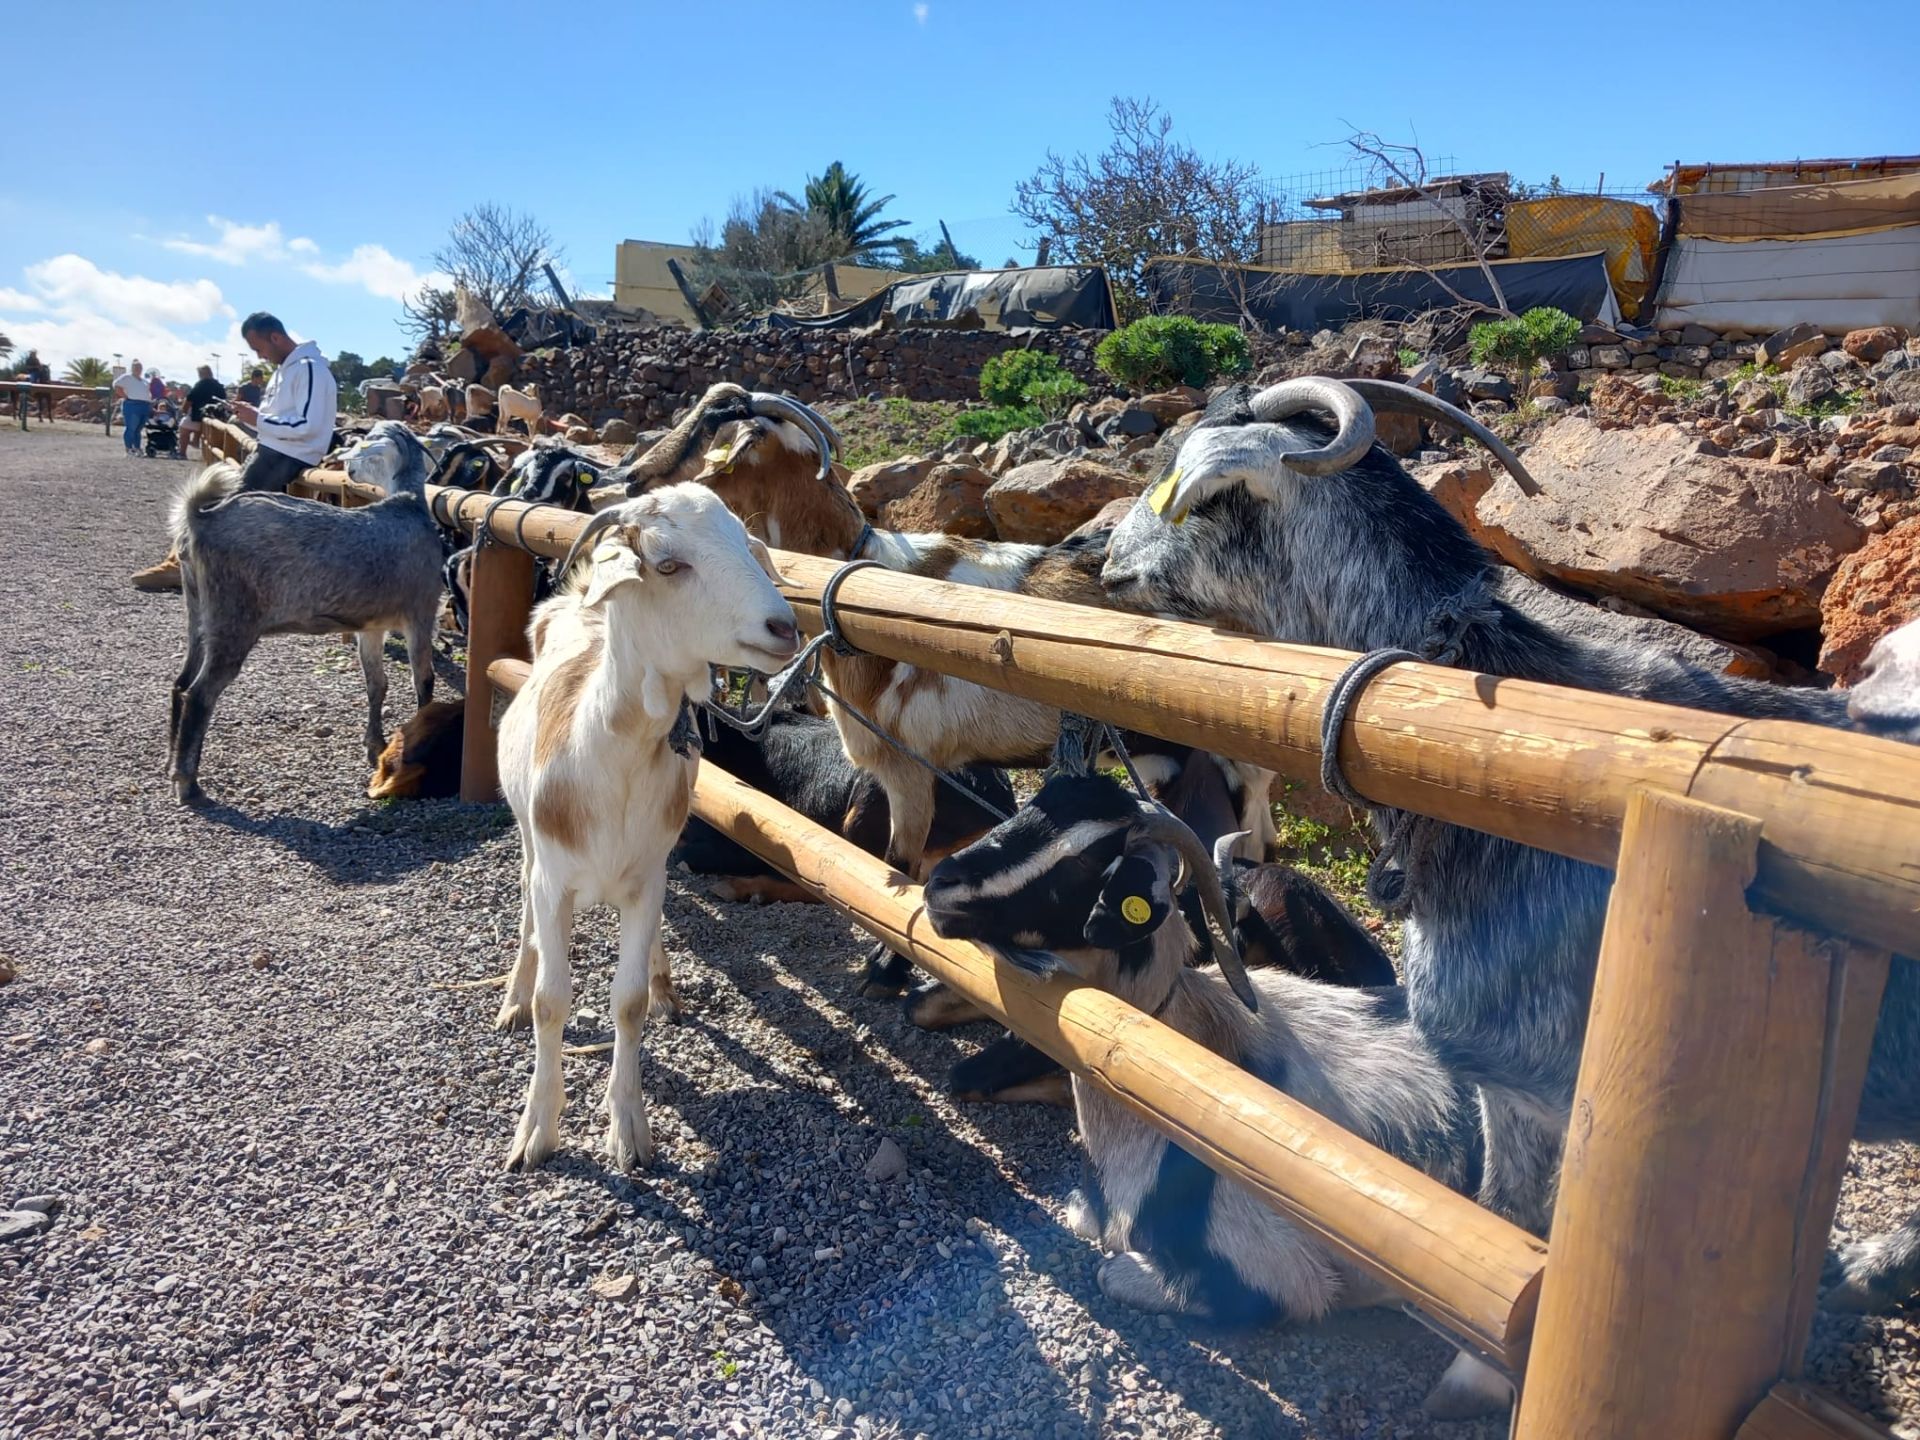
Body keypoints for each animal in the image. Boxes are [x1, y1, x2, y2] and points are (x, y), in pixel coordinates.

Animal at [168, 422, 445, 806]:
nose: (349, 468)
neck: (409, 505)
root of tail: (201, 518)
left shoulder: (371, 626)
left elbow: (377, 683)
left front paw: (374, 744)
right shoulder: (421, 612)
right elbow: (423, 680)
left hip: (197, 610)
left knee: (180, 683)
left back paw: (171, 763)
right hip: (232, 618)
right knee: (199, 694)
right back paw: (188, 782)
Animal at [495, 485, 802, 1175]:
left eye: (745, 542)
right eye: (667, 563)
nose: (785, 627)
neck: (613, 754)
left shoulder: (646, 878)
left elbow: (628, 1000)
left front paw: (628, 1131)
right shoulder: (555, 879)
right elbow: (553, 1000)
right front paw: (535, 1132)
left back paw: (664, 983)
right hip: (529, 839)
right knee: (524, 908)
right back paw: (513, 995)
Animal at [921, 779, 1474, 1328]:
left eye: (1081, 862)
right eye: (1030, 805)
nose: (939, 886)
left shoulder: (1287, 1278)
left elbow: (1113, 1272)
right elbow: (1081, 1213)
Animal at [1098, 374, 1920, 1420]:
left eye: (1195, 486)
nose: (1103, 558)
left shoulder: (1571, 1084)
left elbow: (1520, 1237)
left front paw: (1480, 1379)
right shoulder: (1506, 1083)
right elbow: (1501, 1217)